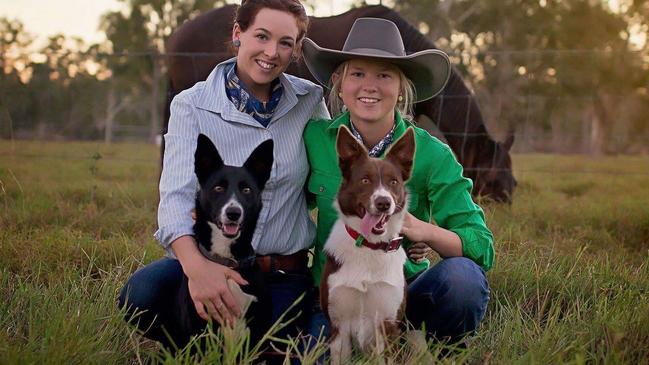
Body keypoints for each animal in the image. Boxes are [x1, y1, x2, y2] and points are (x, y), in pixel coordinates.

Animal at [173, 134, 272, 346]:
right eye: (218, 188)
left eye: (246, 190)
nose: (233, 213)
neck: (227, 260)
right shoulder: (199, 326)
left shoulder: (258, 327)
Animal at [320, 124, 416, 362]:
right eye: (365, 180)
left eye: (393, 182)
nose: (383, 202)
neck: (369, 246)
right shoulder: (338, 326)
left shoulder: (387, 325)